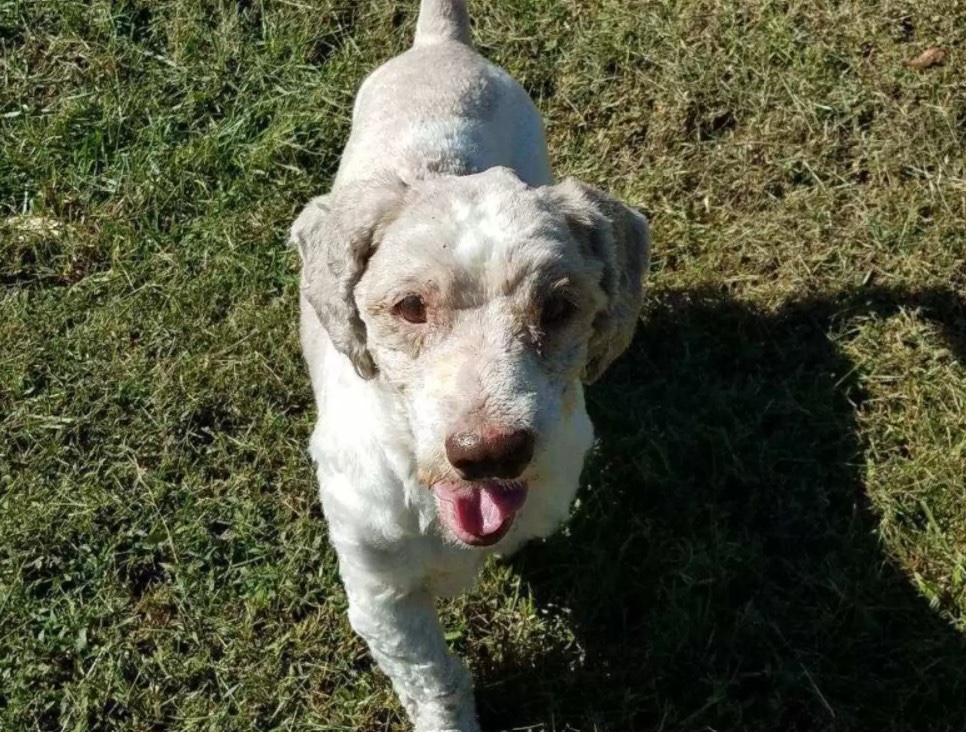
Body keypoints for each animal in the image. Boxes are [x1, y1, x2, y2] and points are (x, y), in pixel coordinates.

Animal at [288, 2, 652, 728]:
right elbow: (436, 678)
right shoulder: (381, 598)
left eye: (559, 307)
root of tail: (442, 42)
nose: (488, 453)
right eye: (409, 307)